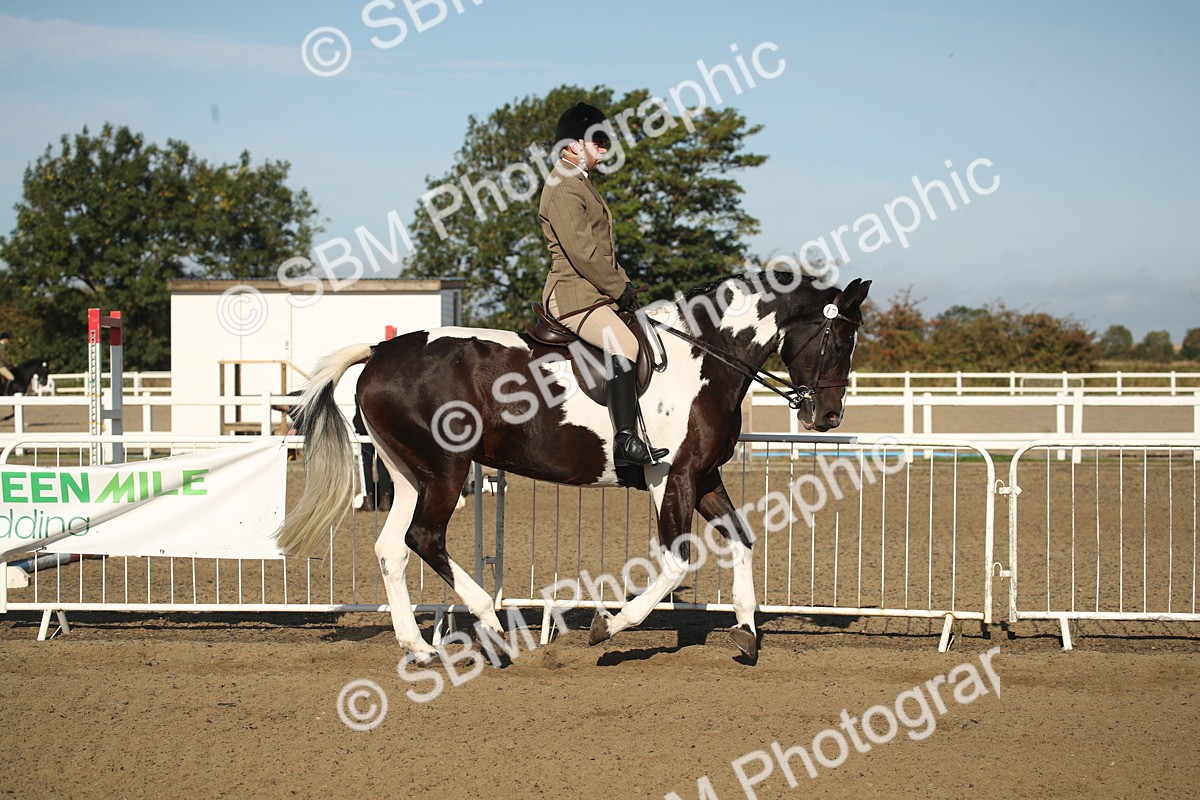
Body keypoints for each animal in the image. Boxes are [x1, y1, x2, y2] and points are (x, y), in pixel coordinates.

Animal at [276, 273, 870, 664]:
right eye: (841, 339)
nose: (828, 416)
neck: (706, 357)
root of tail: (379, 351)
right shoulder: (670, 478)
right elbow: (675, 566)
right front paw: (609, 625)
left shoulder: (704, 477)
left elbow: (742, 541)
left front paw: (746, 634)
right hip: (447, 469)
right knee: (424, 538)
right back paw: (492, 627)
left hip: (408, 474)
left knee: (391, 549)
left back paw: (418, 647)